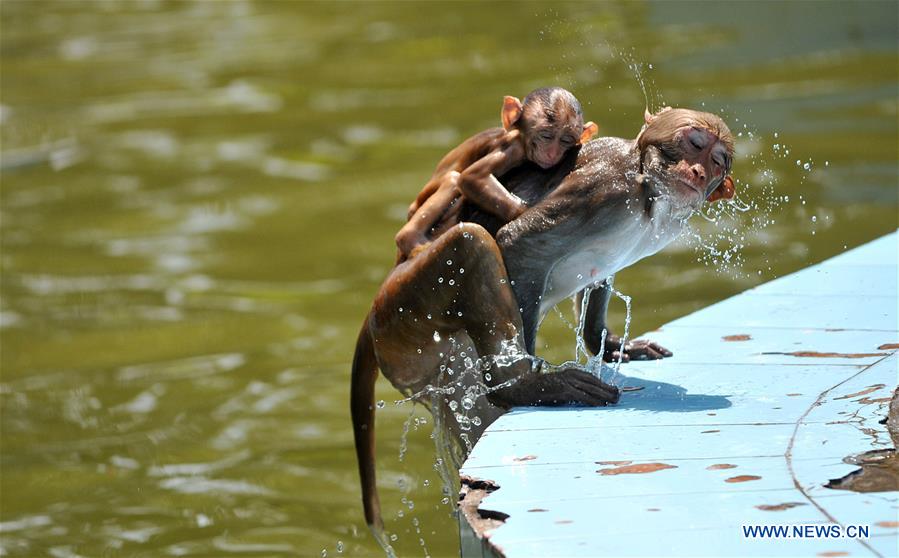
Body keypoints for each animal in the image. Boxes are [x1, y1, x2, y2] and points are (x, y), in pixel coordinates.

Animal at [350, 107, 732, 536]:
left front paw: (608, 342)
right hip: (403, 312)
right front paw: (531, 381)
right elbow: (518, 242)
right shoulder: (605, 186)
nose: (697, 172)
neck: (649, 196)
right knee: (471, 241)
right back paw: (518, 383)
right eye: (694, 143)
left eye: (718, 161)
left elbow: (600, 270)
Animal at [396, 87, 596, 262]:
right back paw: (409, 239)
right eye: (546, 136)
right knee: (453, 179)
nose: (552, 154)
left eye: (566, 140)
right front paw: (526, 211)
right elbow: (471, 177)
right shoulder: (513, 149)